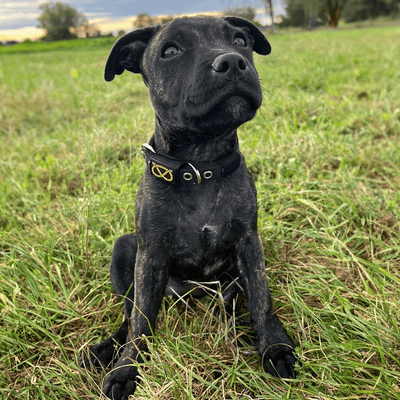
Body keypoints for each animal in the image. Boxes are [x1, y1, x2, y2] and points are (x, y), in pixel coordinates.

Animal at [81, 16, 298, 400]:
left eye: (240, 41)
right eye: (170, 51)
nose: (232, 62)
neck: (200, 165)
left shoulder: (249, 243)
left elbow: (262, 298)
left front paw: (274, 347)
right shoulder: (149, 256)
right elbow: (141, 322)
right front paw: (127, 370)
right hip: (125, 251)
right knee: (129, 313)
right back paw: (107, 349)